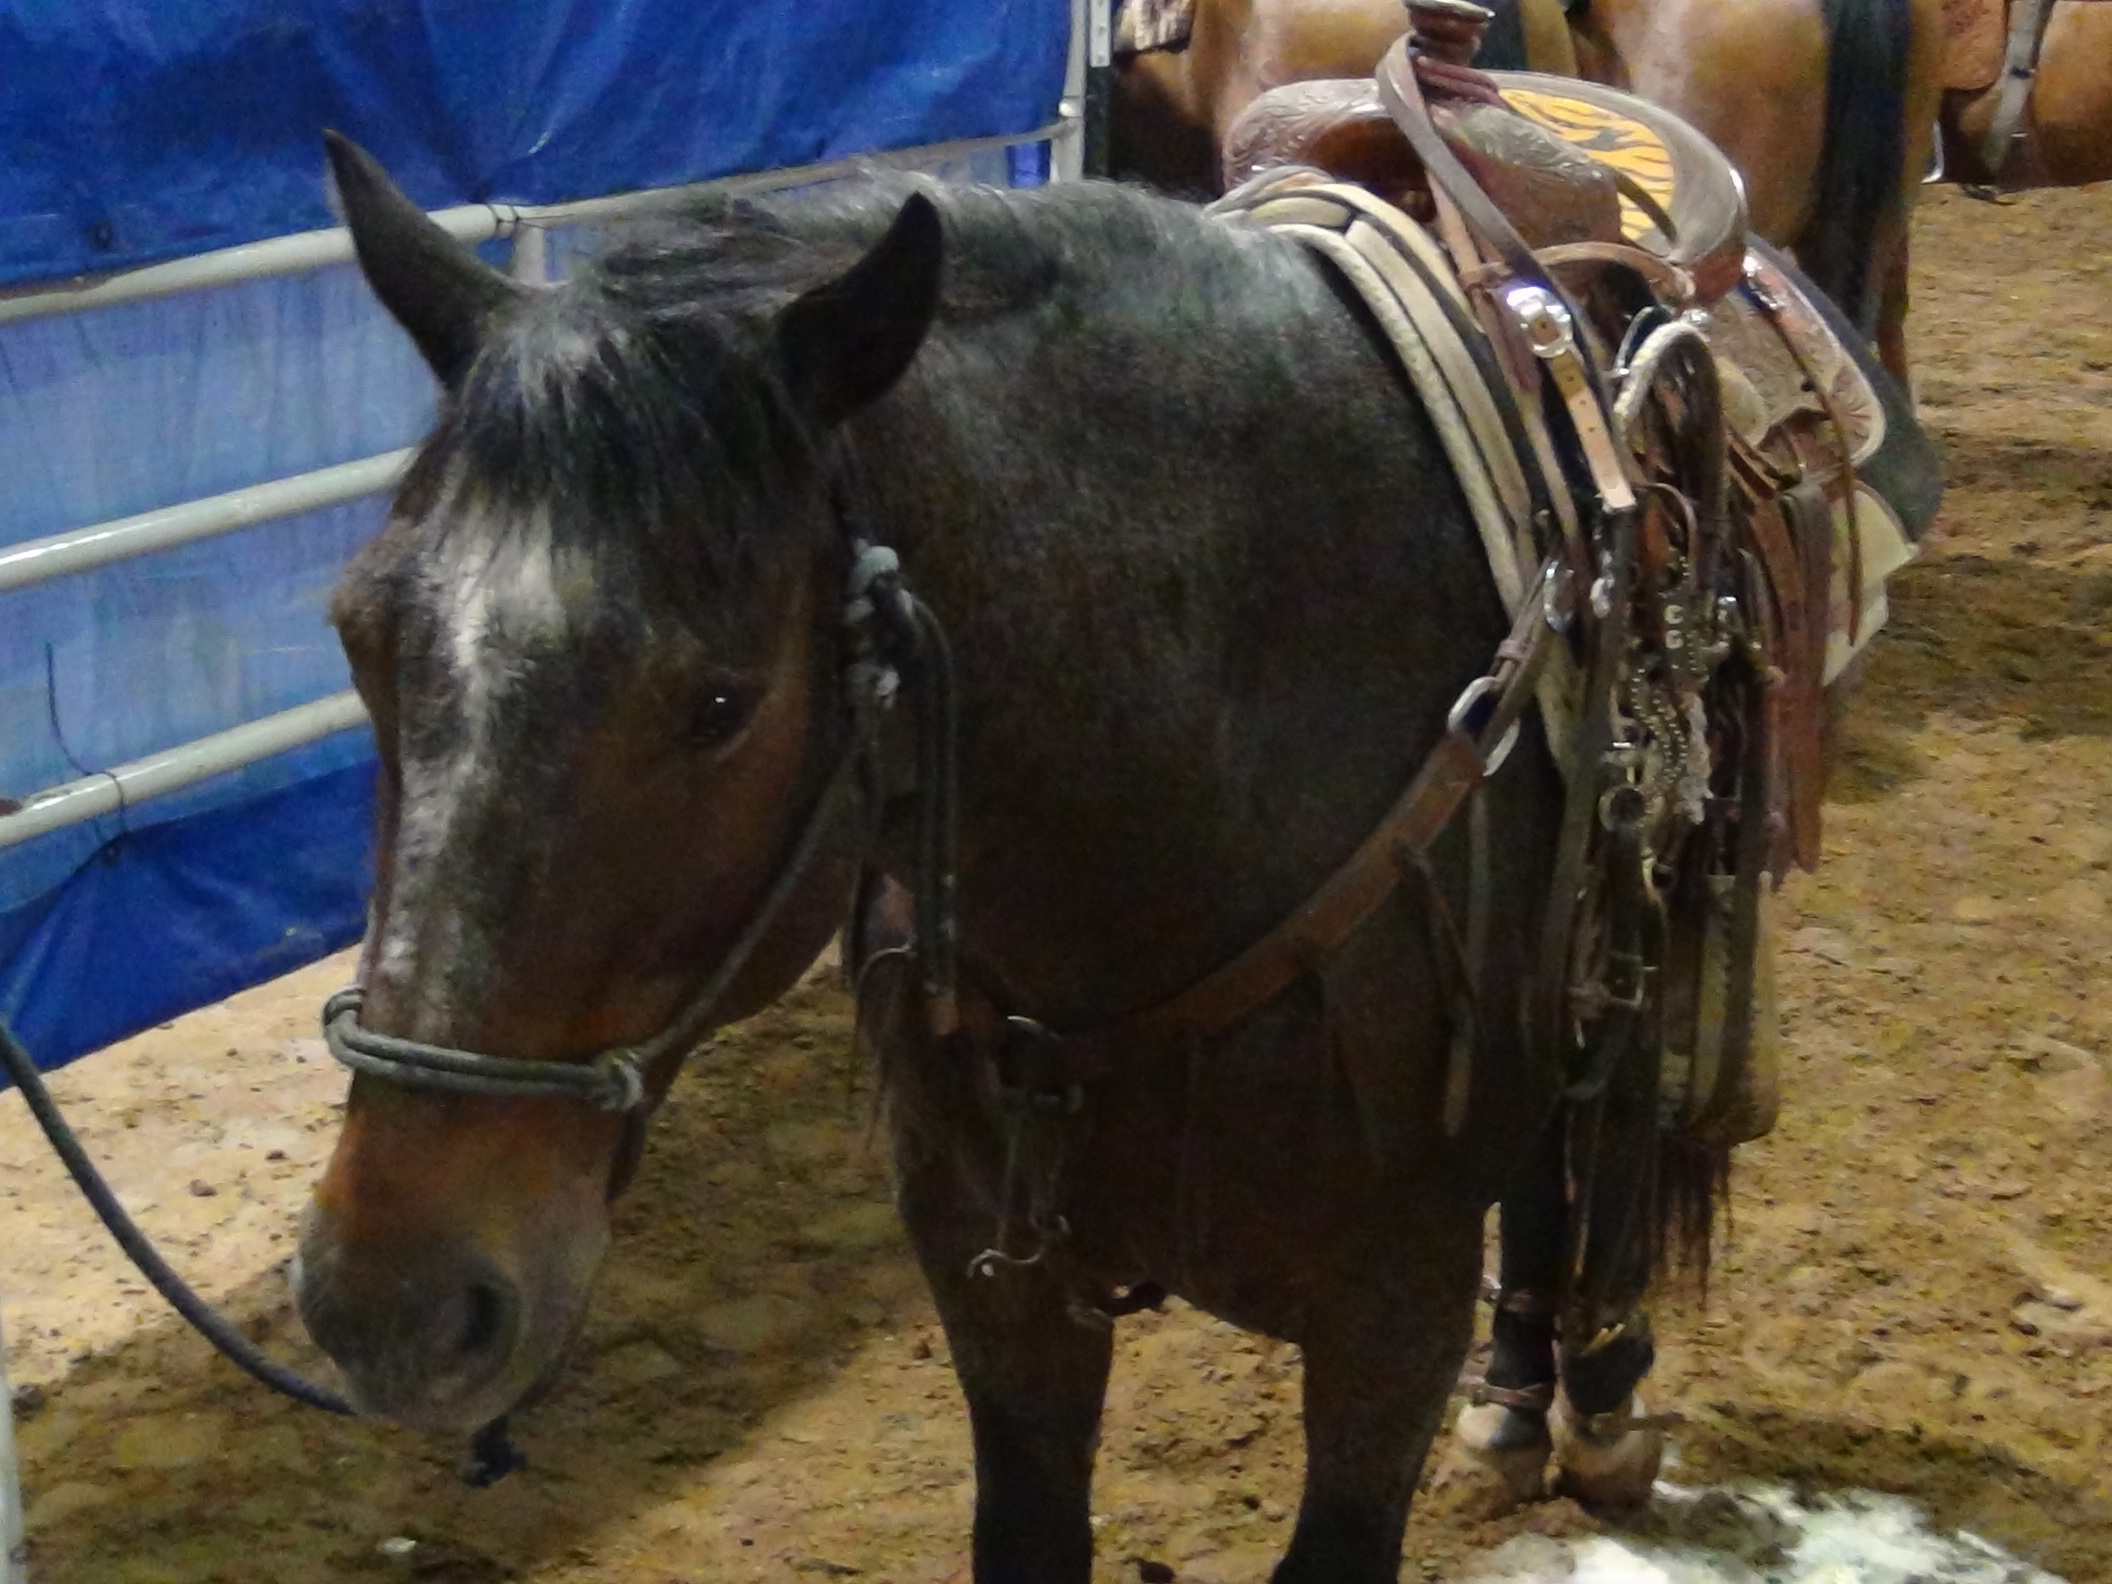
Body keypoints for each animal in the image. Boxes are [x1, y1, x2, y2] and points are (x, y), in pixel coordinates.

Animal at [292, 130, 1932, 1581]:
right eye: (359, 635)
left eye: (718, 703)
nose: (392, 1304)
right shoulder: (1000, 1291)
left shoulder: (1386, 1323)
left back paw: (1590, 1394)